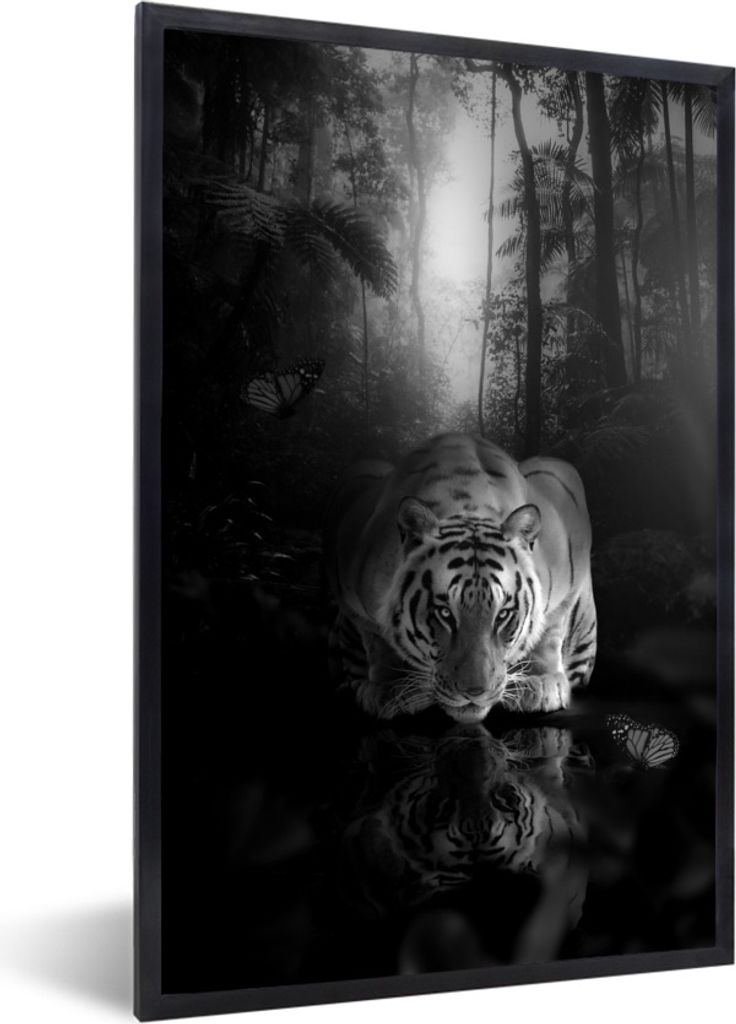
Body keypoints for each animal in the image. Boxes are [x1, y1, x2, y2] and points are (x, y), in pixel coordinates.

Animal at [324, 433, 596, 721]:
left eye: (503, 615)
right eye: (444, 613)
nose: (475, 691)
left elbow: (549, 630)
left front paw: (539, 684)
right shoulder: (348, 577)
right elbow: (378, 640)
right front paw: (392, 689)